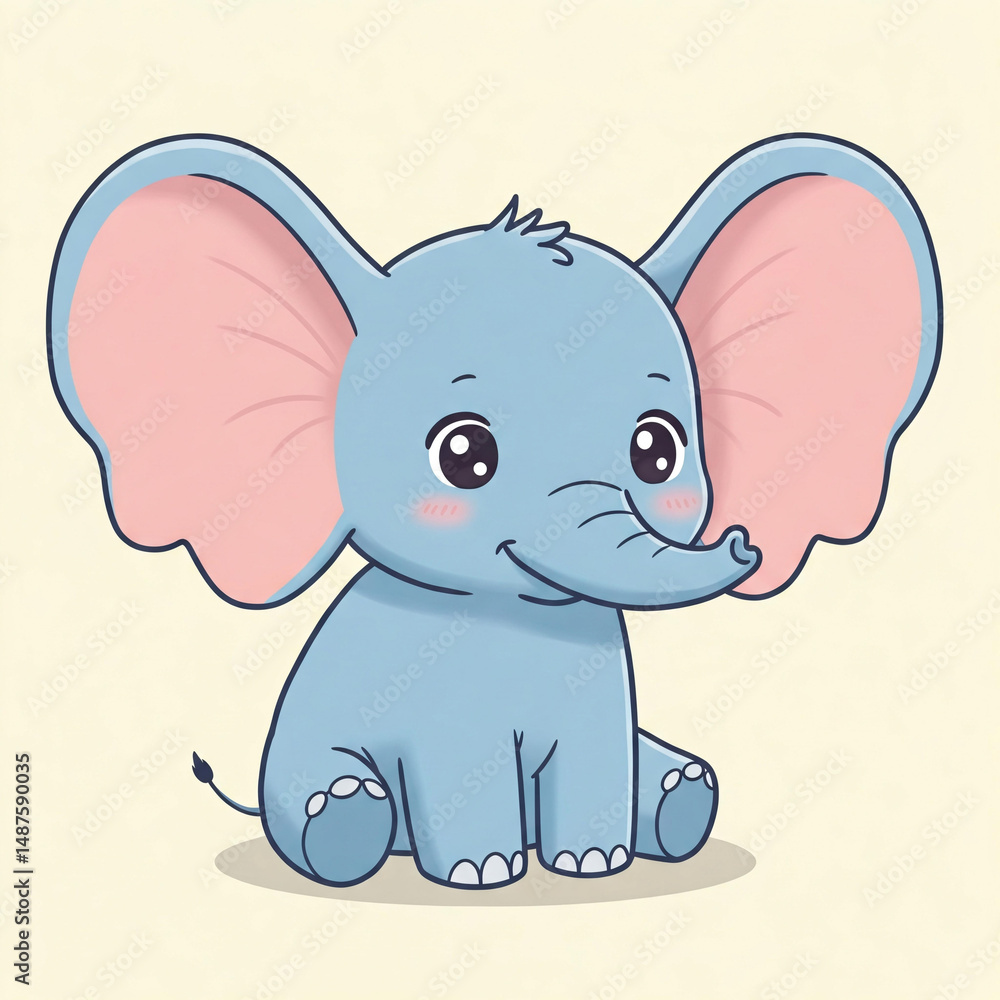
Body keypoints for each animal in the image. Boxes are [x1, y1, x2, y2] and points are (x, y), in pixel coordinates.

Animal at [48, 132, 940, 889]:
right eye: (465, 455)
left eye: (659, 451)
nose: (743, 541)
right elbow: (459, 758)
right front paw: (487, 875)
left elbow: (596, 753)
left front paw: (592, 864)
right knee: (321, 809)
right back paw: (347, 820)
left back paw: (682, 794)